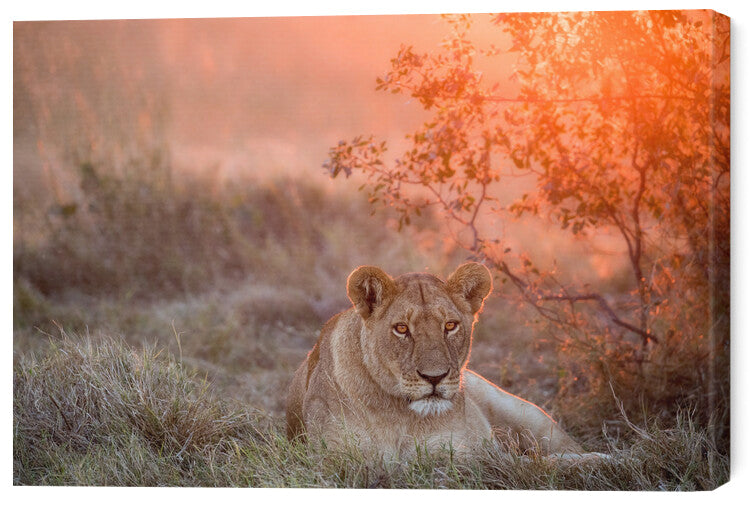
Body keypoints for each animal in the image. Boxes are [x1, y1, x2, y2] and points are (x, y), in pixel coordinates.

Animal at [286, 262, 603, 460]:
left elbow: (539, 464)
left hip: (527, 415)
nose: (434, 377)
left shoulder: (472, 454)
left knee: (566, 450)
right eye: (401, 328)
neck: (402, 416)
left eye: (450, 326)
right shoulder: (337, 458)